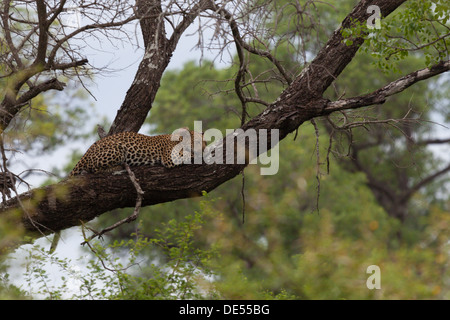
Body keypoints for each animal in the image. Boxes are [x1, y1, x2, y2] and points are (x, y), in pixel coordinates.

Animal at [68, 127, 206, 176]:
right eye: (198, 142)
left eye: (205, 142)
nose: (204, 148)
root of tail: (86, 152)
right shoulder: (170, 157)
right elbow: (189, 154)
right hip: (118, 148)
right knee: (94, 169)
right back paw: (117, 167)